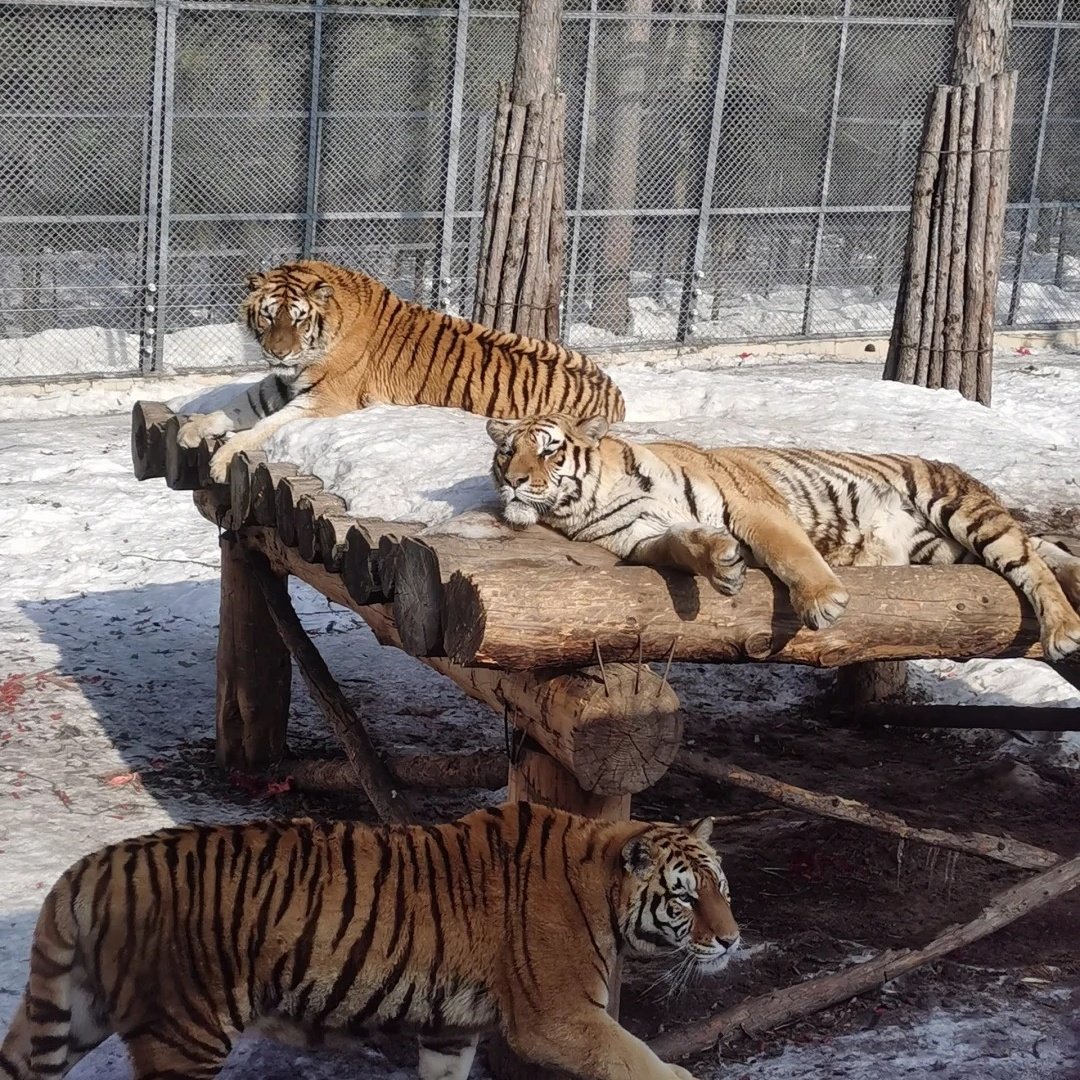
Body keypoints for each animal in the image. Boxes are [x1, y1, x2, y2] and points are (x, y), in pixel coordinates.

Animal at [0, 802, 738, 1080]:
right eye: (683, 899)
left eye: (722, 889)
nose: (733, 942)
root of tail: (90, 869)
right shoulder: (560, 1017)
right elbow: (638, 1060)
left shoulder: (451, 1031)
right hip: (180, 1033)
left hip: (74, 1014)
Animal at [175, 260, 626, 484]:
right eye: (268, 316)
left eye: (298, 319)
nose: (277, 352)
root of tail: (617, 396)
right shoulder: (282, 384)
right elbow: (237, 407)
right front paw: (192, 429)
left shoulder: (323, 399)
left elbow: (262, 427)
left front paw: (222, 460)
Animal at [485, 413, 1080, 662]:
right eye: (506, 451)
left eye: (548, 451)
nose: (513, 480)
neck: (595, 497)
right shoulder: (646, 537)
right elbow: (684, 544)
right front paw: (722, 564)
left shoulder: (753, 504)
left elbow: (788, 551)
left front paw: (823, 601)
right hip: (936, 549)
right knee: (1041, 550)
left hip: (956, 506)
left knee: (1031, 562)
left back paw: (1064, 631)